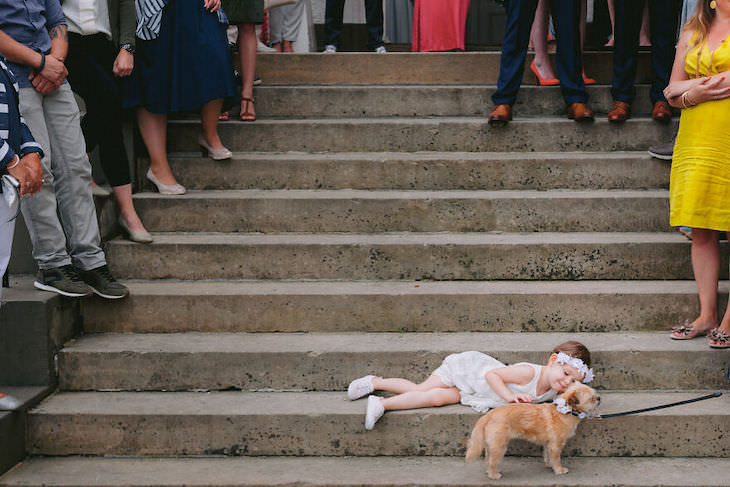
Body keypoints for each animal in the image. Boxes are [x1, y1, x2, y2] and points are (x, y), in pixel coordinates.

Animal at [466, 382, 596, 480]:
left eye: (595, 396)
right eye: (591, 399)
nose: (599, 398)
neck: (564, 411)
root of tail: (489, 414)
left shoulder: (548, 444)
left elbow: (548, 455)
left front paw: (550, 465)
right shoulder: (556, 445)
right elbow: (556, 458)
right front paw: (559, 469)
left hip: (492, 446)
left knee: (488, 459)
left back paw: (490, 471)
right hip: (499, 446)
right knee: (492, 461)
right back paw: (493, 475)